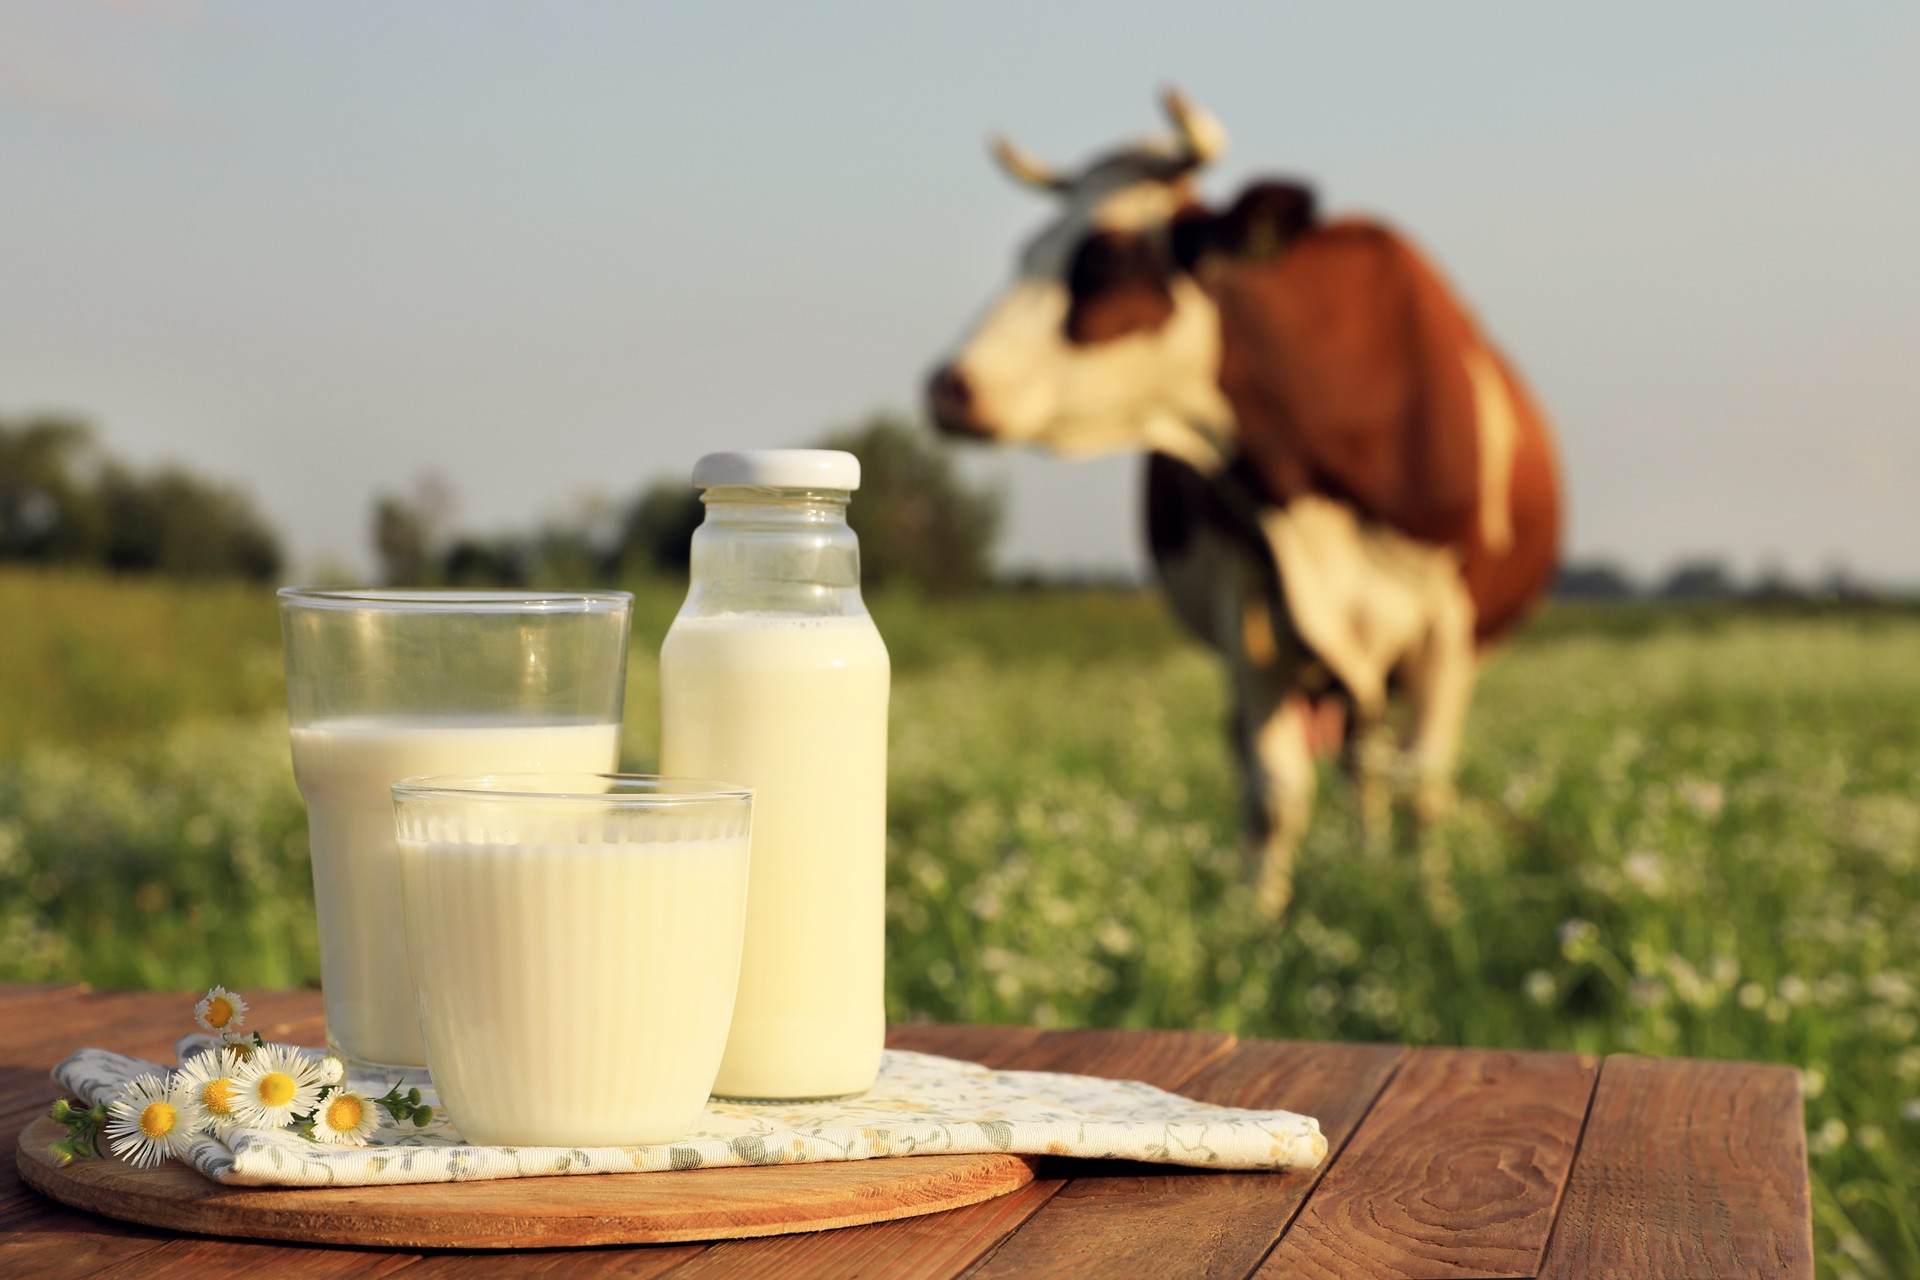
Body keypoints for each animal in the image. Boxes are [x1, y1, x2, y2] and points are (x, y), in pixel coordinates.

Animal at [925, 87, 1559, 909]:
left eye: (1108, 256)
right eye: (1028, 252)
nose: (948, 386)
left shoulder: (1445, 623)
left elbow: (1425, 789)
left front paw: (1435, 915)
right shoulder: (1250, 604)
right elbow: (1274, 796)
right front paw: (1256, 927)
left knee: (1374, 766)